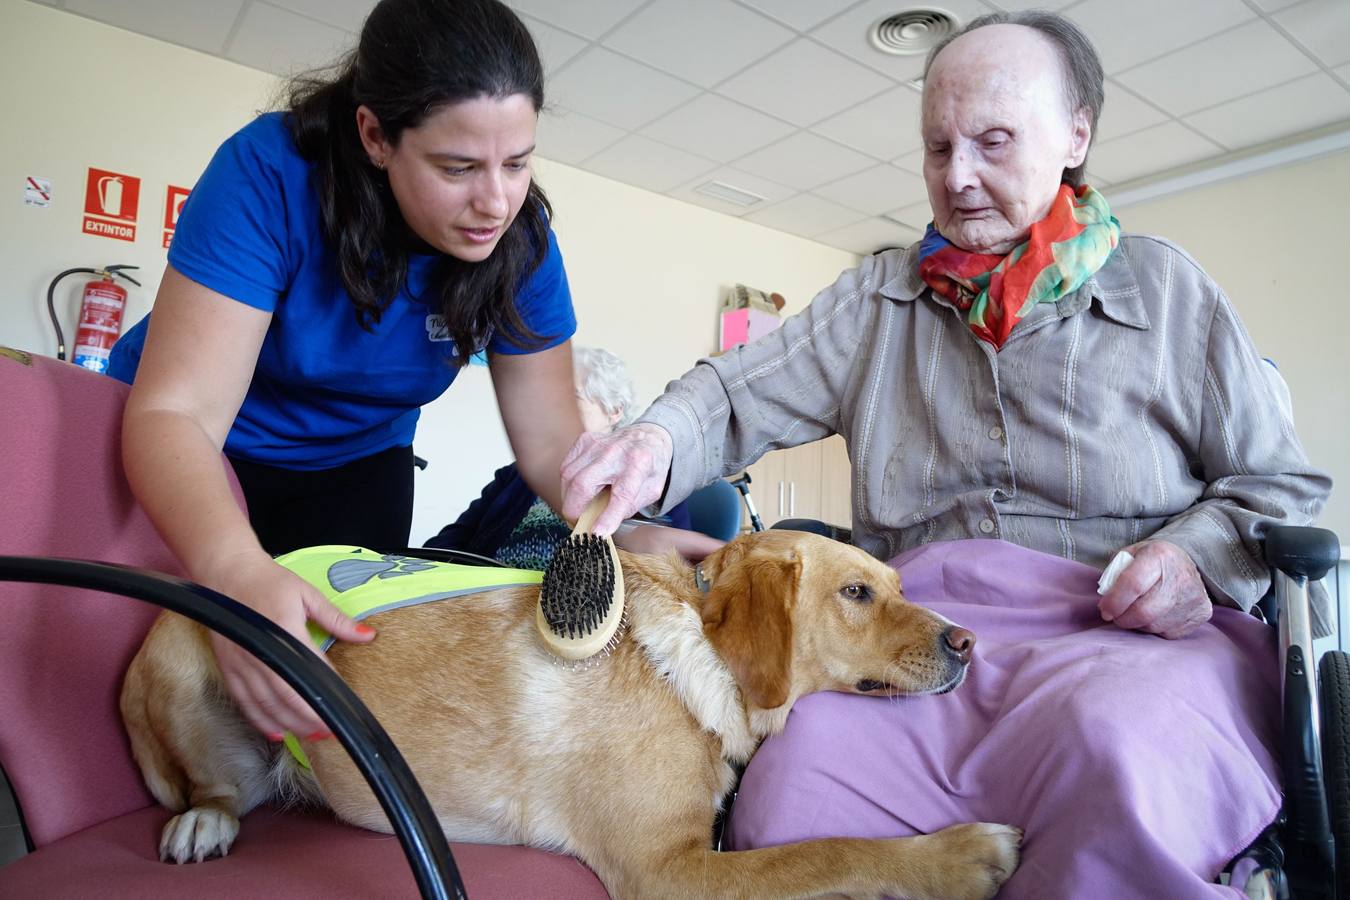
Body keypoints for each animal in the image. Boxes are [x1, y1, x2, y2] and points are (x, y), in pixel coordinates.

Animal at [121, 531, 1015, 895]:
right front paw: (957, 855)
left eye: (899, 586)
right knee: (215, 791)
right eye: (857, 593)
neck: (695, 654)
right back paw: (204, 822)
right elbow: (828, 851)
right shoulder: (669, 873)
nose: (970, 641)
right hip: (179, 658)